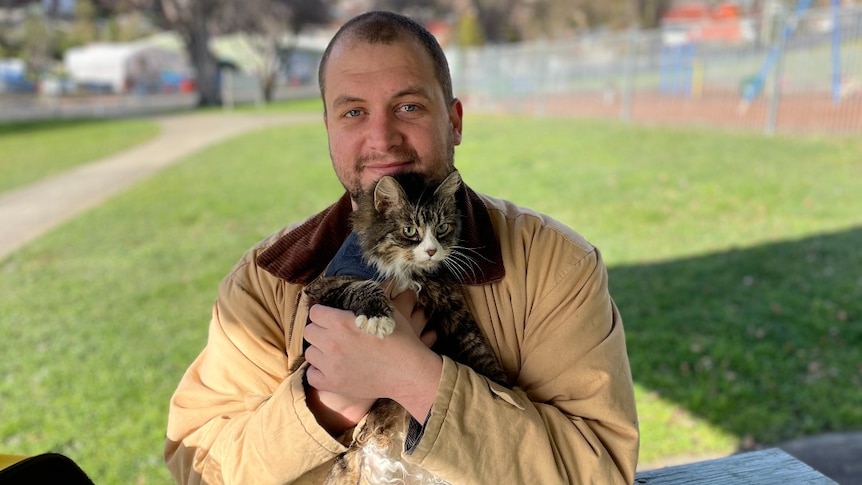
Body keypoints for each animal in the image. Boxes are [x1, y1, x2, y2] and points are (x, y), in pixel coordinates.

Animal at [304, 168, 510, 482]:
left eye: (442, 228)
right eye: (410, 231)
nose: (432, 251)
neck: (406, 269)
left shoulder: (450, 303)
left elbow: (477, 346)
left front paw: (502, 389)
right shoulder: (325, 288)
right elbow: (359, 287)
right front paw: (377, 318)